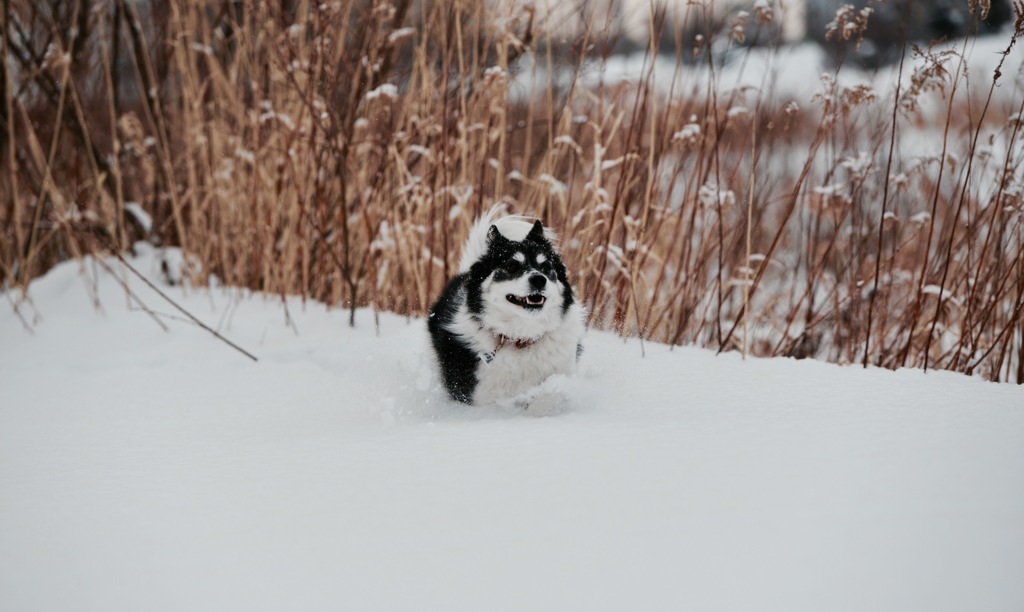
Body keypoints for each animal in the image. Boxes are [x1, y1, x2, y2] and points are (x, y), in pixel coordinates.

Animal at [425, 208, 585, 409]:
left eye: (546, 267)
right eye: (512, 266)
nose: (539, 279)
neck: (521, 338)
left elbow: (548, 398)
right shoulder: (483, 394)